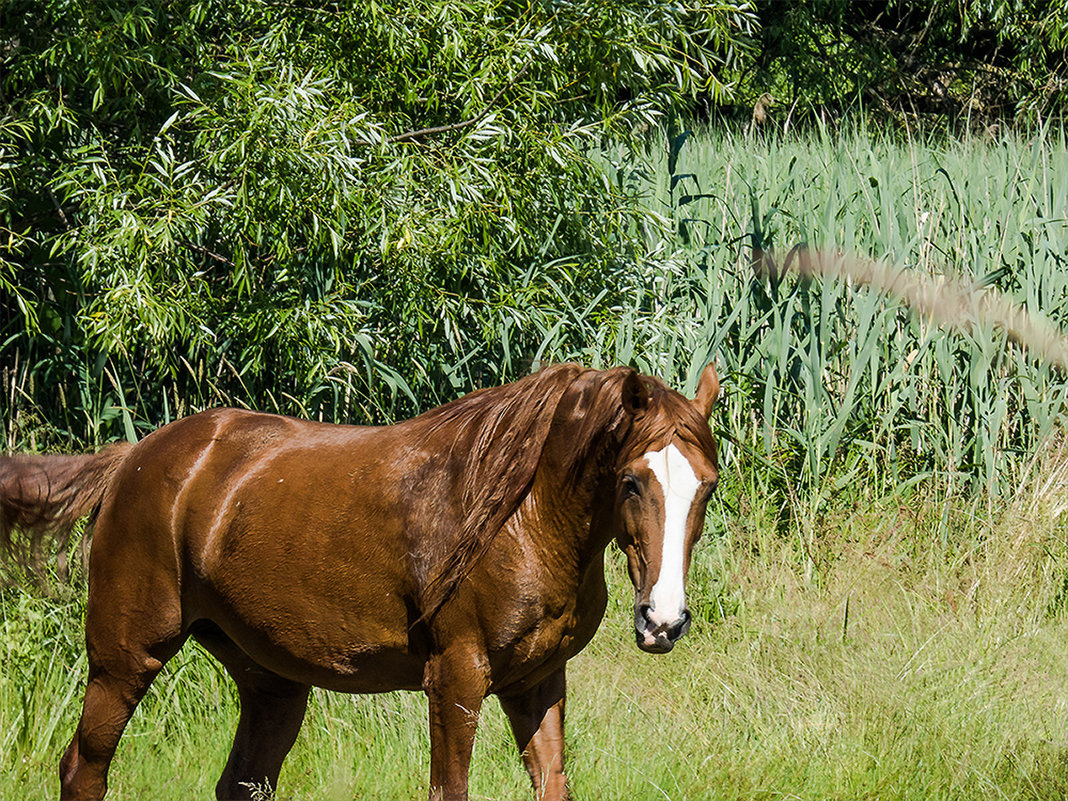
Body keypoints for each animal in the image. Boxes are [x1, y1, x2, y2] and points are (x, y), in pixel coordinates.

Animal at [0, 365, 721, 801]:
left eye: (707, 486)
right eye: (632, 480)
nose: (663, 621)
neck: (523, 517)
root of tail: (134, 457)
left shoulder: (536, 683)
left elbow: (553, 784)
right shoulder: (456, 678)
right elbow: (449, 788)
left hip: (271, 682)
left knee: (241, 782)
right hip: (125, 659)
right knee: (83, 768)